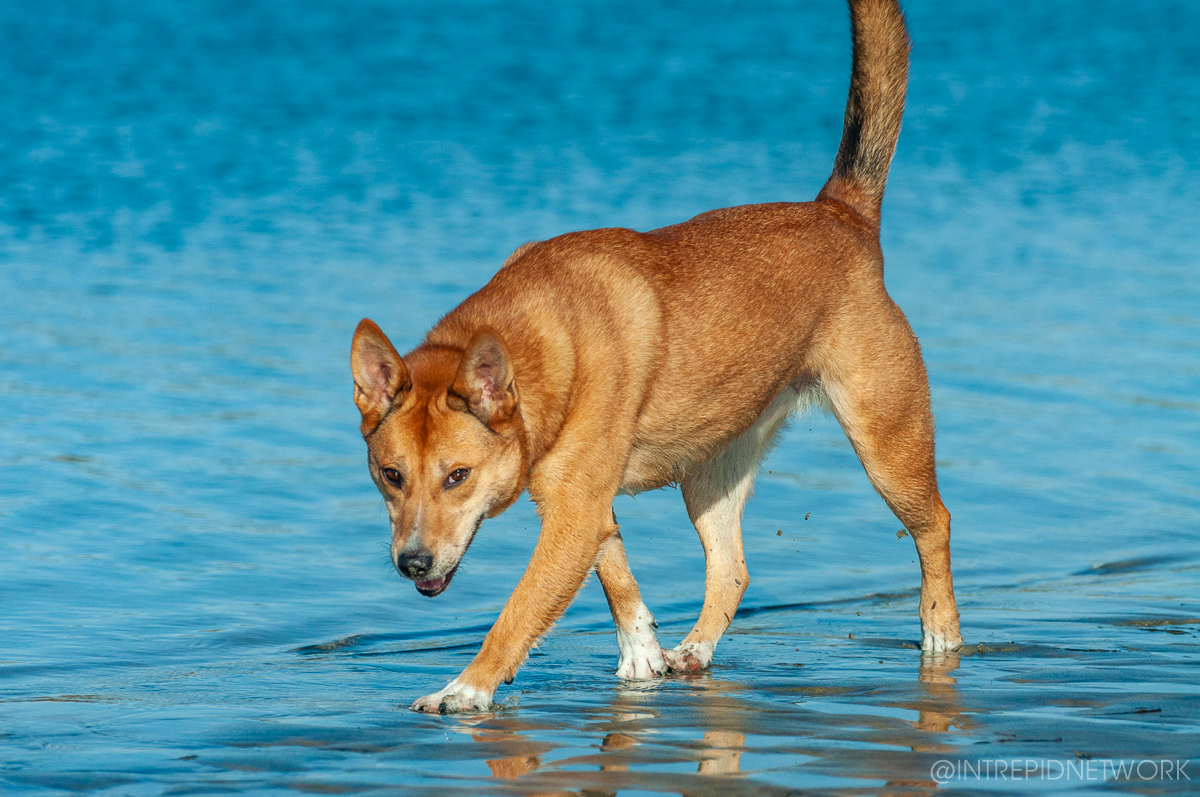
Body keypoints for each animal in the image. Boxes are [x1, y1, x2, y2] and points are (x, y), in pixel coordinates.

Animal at [350, 0, 960, 715]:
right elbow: (616, 572)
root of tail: (842, 213)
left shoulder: (572, 513)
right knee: (732, 570)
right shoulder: (582, 504)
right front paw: (642, 652)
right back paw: (692, 653)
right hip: (710, 472)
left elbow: (516, 614)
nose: (412, 564)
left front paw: (465, 688)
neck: (547, 341)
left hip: (887, 442)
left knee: (935, 525)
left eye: (457, 476)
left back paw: (941, 635)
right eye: (390, 475)